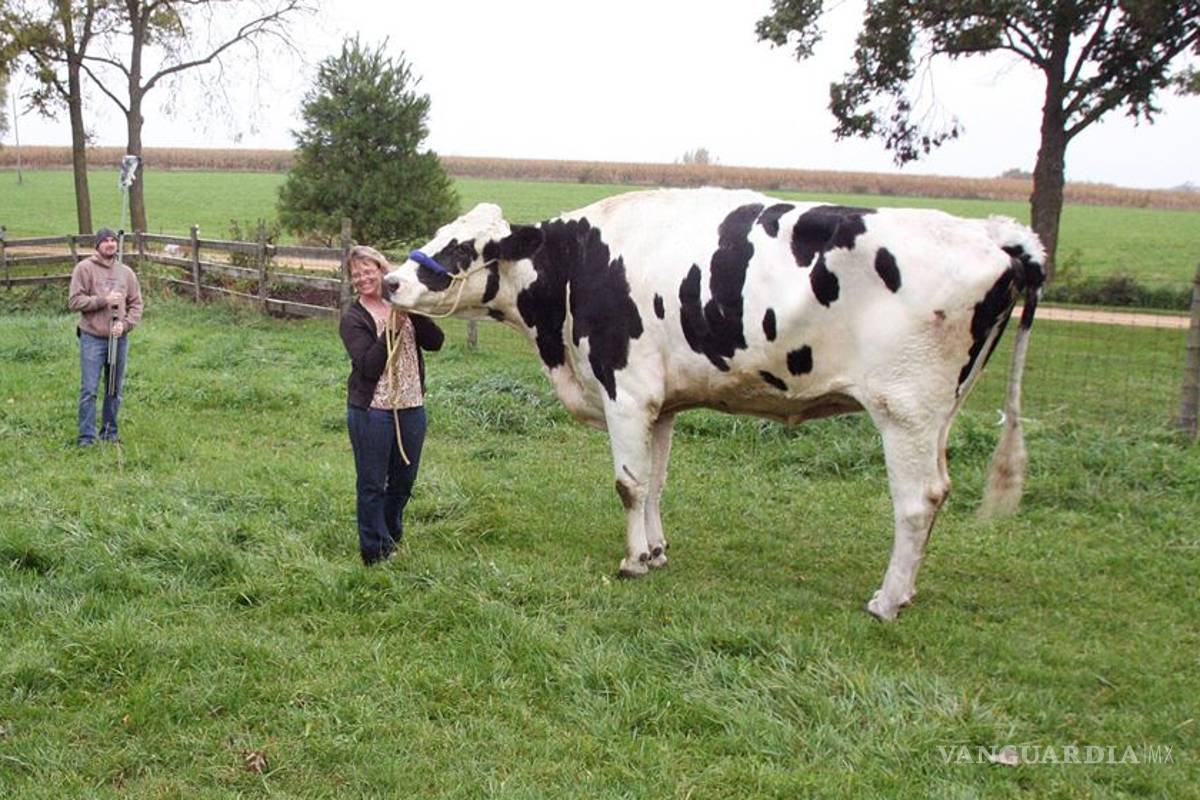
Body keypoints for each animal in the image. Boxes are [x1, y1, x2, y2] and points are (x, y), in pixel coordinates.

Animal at [384, 188, 1045, 621]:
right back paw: (904, 592)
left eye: (461, 246)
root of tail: (993, 234)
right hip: (940, 413)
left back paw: (885, 601)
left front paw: (632, 563)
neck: (574, 267)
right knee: (938, 493)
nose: (391, 280)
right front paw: (654, 553)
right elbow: (654, 484)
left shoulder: (627, 390)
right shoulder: (663, 402)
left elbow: (628, 483)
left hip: (905, 408)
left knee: (916, 501)